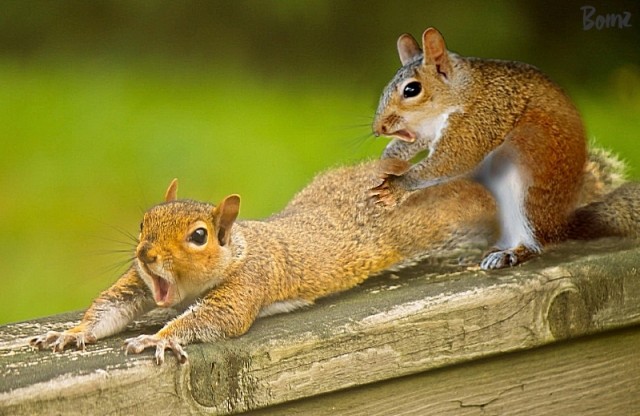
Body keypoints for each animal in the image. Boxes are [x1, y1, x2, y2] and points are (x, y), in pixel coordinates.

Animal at [30, 150, 640, 365]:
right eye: (143, 223)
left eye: (199, 236)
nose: (145, 254)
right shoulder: (138, 284)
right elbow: (111, 306)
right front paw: (71, 334)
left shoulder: (251, 283)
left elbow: (217, 318)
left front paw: (161, 337)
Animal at [370, 27, 589, 270]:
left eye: (411, 89)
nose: (378, 128)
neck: (463, 90)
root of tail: (561, 225)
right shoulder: (425, 130)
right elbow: (408, 145)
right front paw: (383, 164)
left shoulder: (480, 119)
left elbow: (452, 159)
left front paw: (395, 187)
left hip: (533, 190)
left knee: (540, 241)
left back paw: (511, 253)